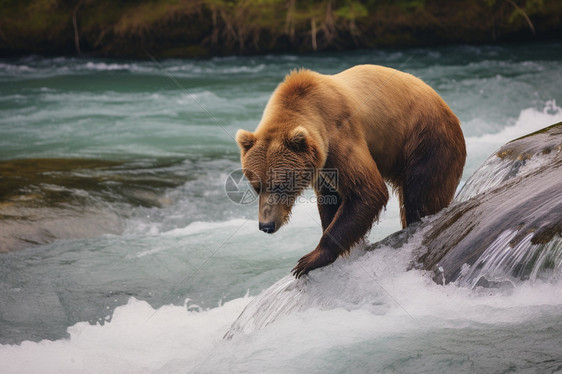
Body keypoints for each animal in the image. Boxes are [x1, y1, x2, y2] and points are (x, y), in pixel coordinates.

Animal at [235, 65, 464, 278]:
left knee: (421, 197)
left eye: (281, 185)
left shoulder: (339, 135)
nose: (266, 225)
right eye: (256, 187)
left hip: (427, 143)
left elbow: (367, 190)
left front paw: (308, 260)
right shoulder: (323, 166)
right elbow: (330, 198)